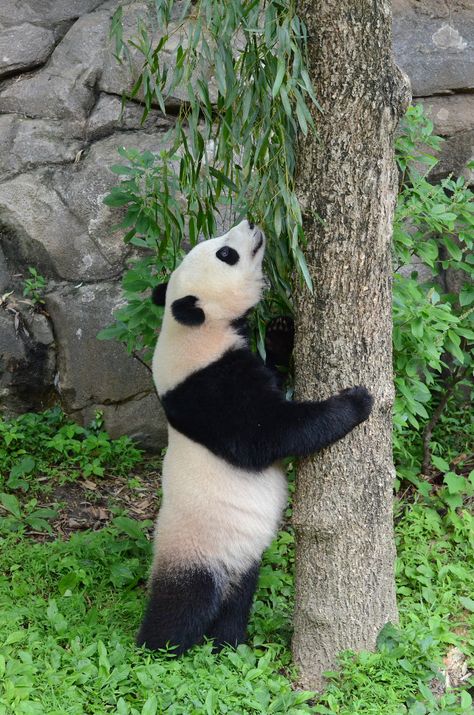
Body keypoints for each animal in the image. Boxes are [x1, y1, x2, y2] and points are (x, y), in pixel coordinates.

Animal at [135, 218, 372, 656]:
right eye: (225, 253)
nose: (250, 223)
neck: (193, 332)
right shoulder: (208, 388)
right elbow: (267, 433)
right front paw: (356, 401)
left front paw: (280, 330)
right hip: (195, 551)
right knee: (181, 604)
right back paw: (156, 648)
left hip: (239, 560)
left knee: (235, 601)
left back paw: (227, 644)